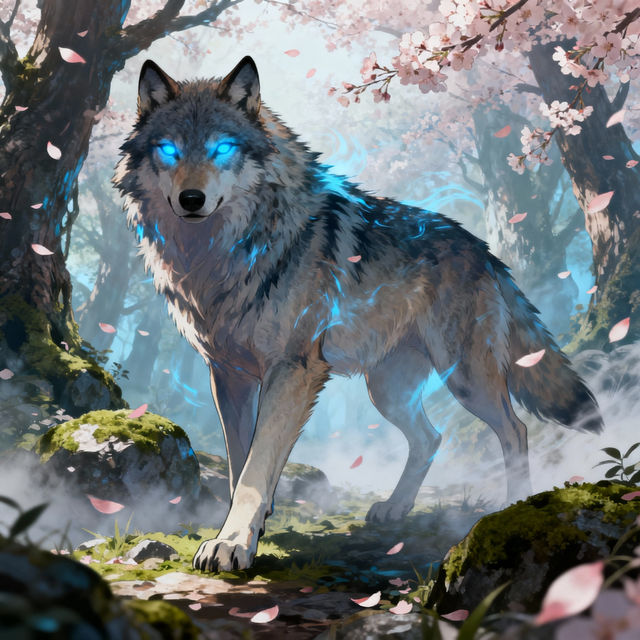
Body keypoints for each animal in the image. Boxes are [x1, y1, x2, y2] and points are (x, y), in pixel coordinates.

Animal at [114, 56, 603, 572]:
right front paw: (250, 528)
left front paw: (232, 543)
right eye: (169, 150)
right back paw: (395, 507)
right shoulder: (227, 375)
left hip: (465, 379)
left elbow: (256, 464)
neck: (220, 255)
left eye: (221, 148)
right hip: (387, 391)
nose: (192, 199)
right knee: (430, 438)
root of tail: (485, 251)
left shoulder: (293, 370)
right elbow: (239, 463)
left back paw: (510, 506)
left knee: (516, 430)